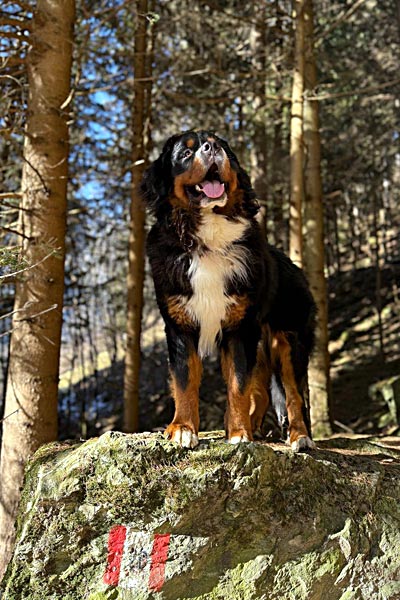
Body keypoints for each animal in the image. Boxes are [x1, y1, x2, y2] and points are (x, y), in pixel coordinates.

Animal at [141, 129, 316, 451]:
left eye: (219, 144)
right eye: (186, 153)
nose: (211, 148)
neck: (207, 239)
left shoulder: (240, 329)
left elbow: (237, 385)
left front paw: (239, 434)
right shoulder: (180, 326)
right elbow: (185, 382)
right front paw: (183, 429)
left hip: (288, 340)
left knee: (293, 394)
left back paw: (300, 438)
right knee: (262, 391)